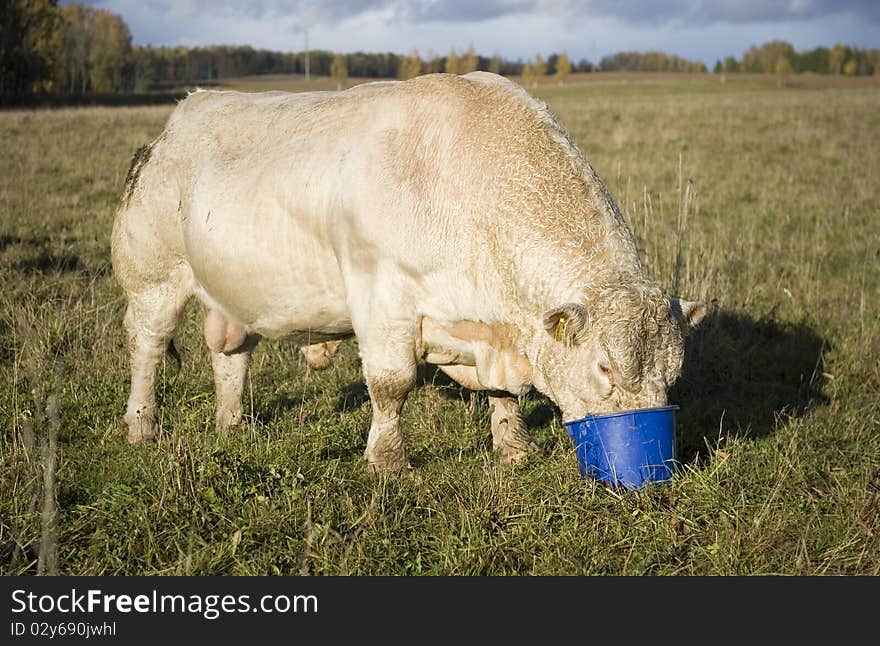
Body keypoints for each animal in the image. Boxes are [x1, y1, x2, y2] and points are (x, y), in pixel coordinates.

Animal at [110, 73, 704, 474]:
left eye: (673, 373)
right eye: (605, 368)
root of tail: (187, 110)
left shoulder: (492, 325)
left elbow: (503, 394)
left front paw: (513, 448)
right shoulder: (382, 296)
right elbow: (392, 384)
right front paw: (387, 462)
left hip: (234, 289)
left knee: (231, 352)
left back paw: (232, 422)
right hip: (153, 278)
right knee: (146, 348)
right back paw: (141, 426)